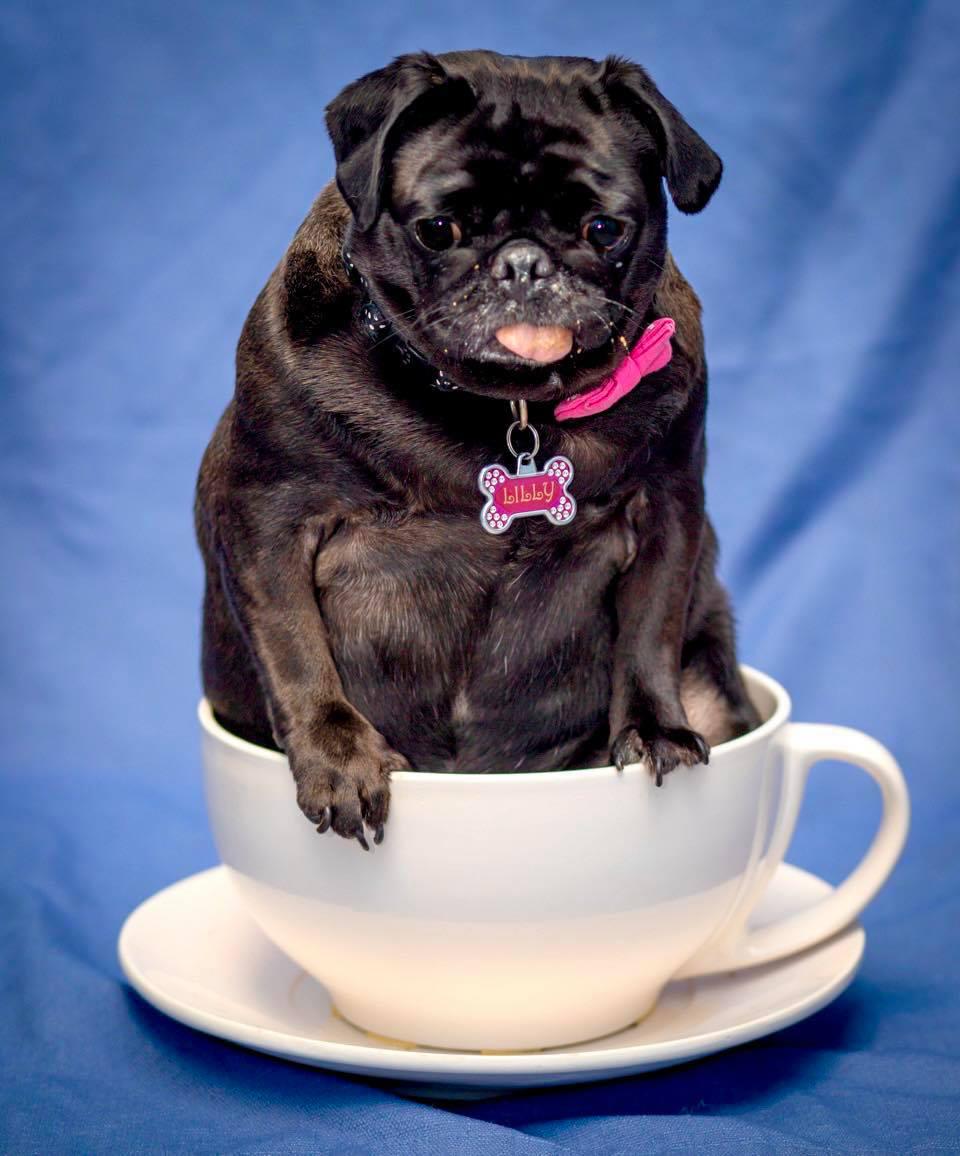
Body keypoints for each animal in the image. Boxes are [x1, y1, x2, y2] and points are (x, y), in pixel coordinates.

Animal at [193, 49, 758, 850]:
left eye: (604, 228)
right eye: (438, 228)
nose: (523, 263)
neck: (505, 406)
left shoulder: (669, 509)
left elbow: (650, 629)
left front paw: (654, 729)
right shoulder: (265, 520)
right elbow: (296, 649)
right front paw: (340, 758)